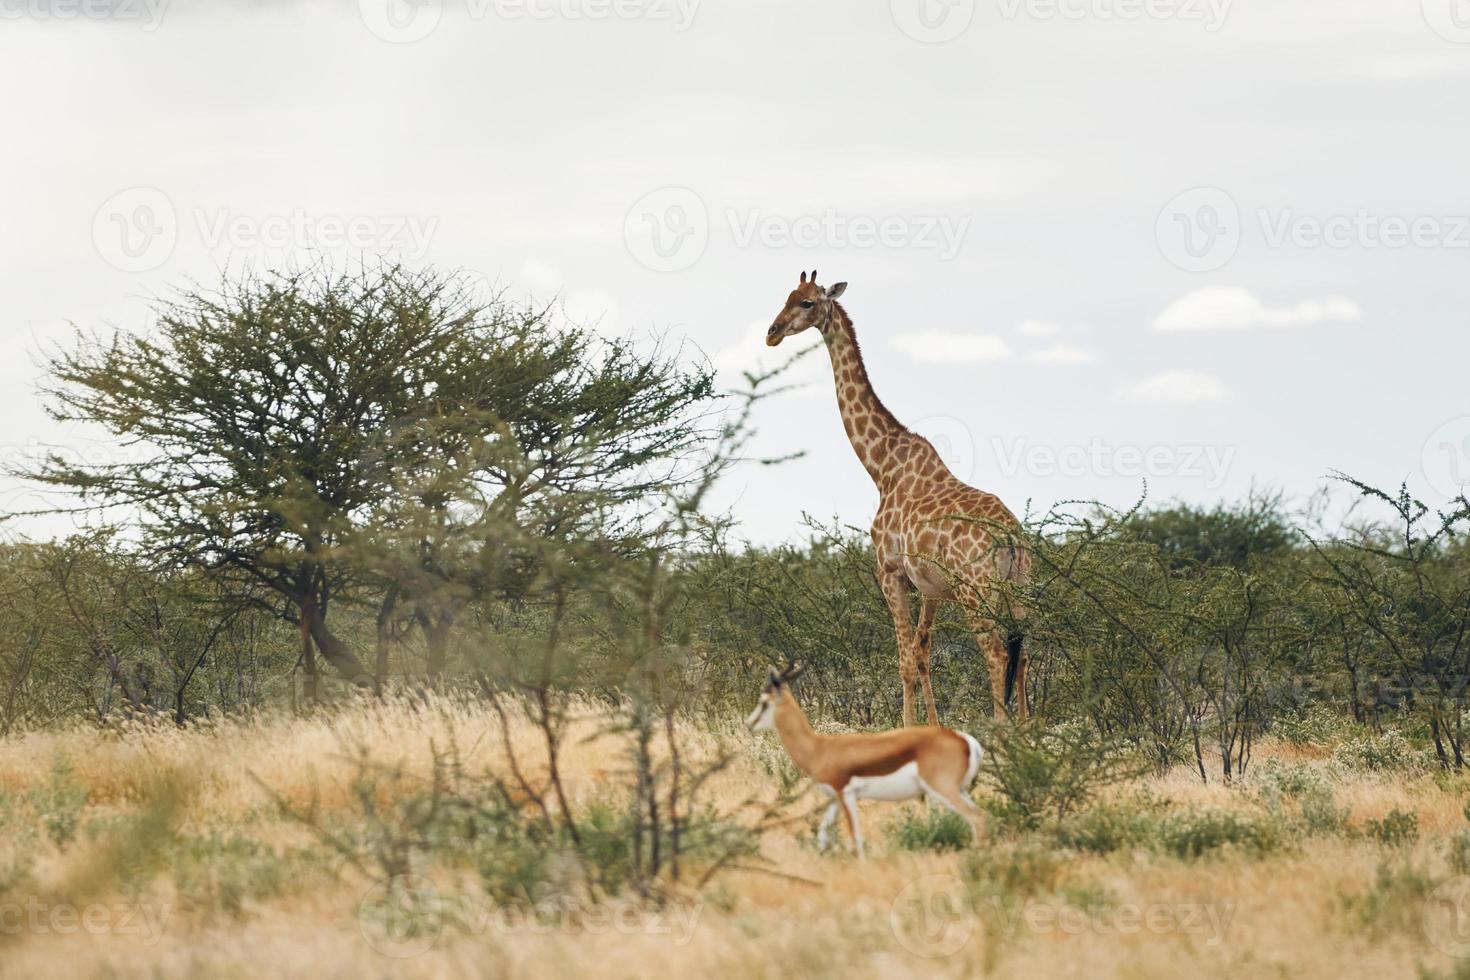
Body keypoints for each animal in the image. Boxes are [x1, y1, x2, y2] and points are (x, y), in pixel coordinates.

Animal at [746, 664, 987, 863]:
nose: (749, 723)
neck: (819, 747)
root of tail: (965, 740)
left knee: (977, 818)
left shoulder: (846, 794)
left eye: (763, 702)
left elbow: (855, 836)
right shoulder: (834, 799)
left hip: (943, 789)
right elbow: (823, 835)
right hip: (961, 790)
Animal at [764, 271, 1029, 725]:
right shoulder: (930, 587)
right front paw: (932, 728)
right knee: (1025, 653)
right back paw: (1032, 728)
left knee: (996, 654)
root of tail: (1011, 536)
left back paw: (1002, 730)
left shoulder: (889, 572)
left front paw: (907, 728)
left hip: (977, 591)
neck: (882, 467)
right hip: (1021, 588)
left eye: (807, 303)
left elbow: (905, 660)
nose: (772, 333)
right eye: (786, 296)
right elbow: (923, 655)